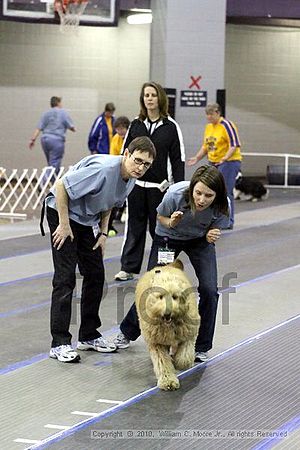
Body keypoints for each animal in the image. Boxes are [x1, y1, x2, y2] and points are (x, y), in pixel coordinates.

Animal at [135, 260, 200, 390]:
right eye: (160, 296)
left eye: (175, 296)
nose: (167, 313)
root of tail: (167, 266)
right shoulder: (156, 342)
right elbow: (162, 362)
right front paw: (168, 381)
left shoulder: (188, 334)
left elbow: (184, 356)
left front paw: (179, 363)